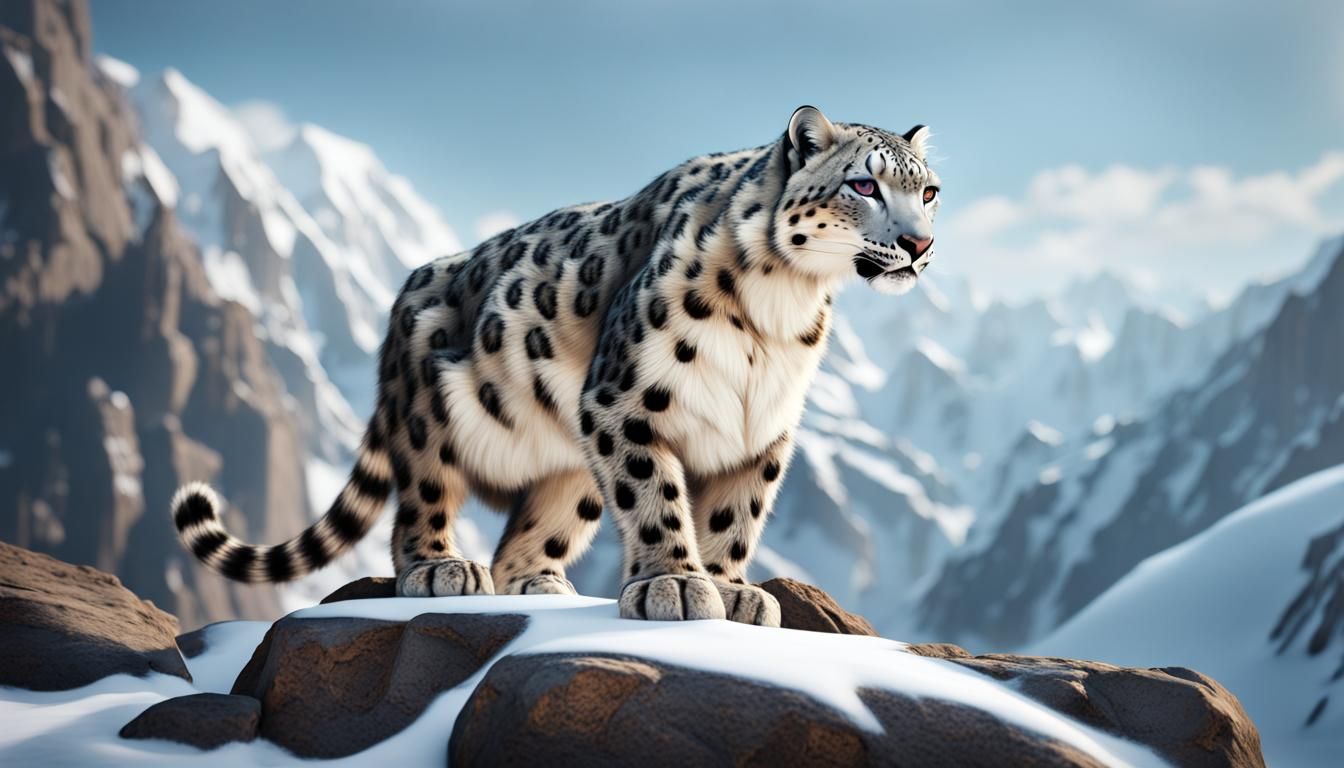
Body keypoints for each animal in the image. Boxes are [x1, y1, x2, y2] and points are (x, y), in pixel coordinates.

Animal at [171, 106, 941, 627]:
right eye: (864, 186)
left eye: (927, 191)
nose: (920, 243)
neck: (782, 308)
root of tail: (405, 290)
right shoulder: (623, 399)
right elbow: (657, 496)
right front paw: (675, 585)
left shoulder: (761, 429)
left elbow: (735, 515)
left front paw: (730, 589)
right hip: (429, 412)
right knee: (420, 500)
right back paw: (442, 568)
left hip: (571, 470)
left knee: (529, 536)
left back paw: (542, 583)